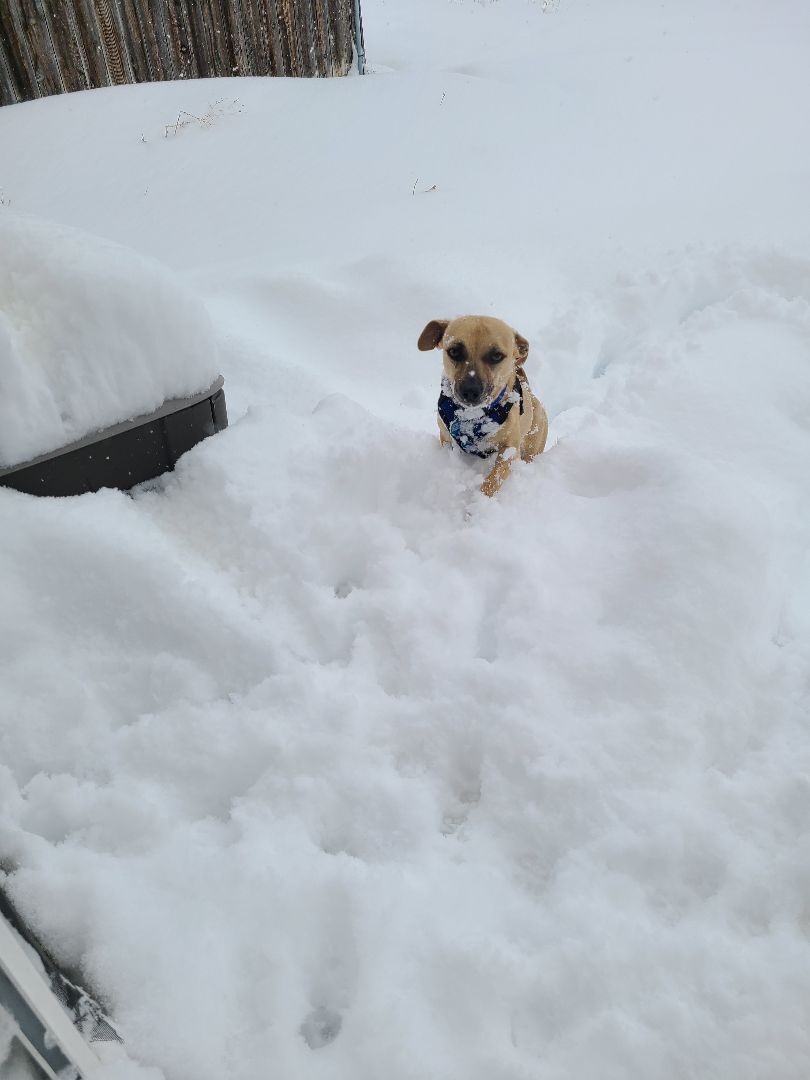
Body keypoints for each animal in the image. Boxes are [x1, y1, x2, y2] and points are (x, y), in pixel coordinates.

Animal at [421, 315, 548, 494]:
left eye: (496, 355)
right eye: (454, 351)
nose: (470, 390)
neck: (473, 416)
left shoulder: (510, 451)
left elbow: (493, 480)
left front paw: (477, 499)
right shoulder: (446, 438)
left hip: (533, 445)